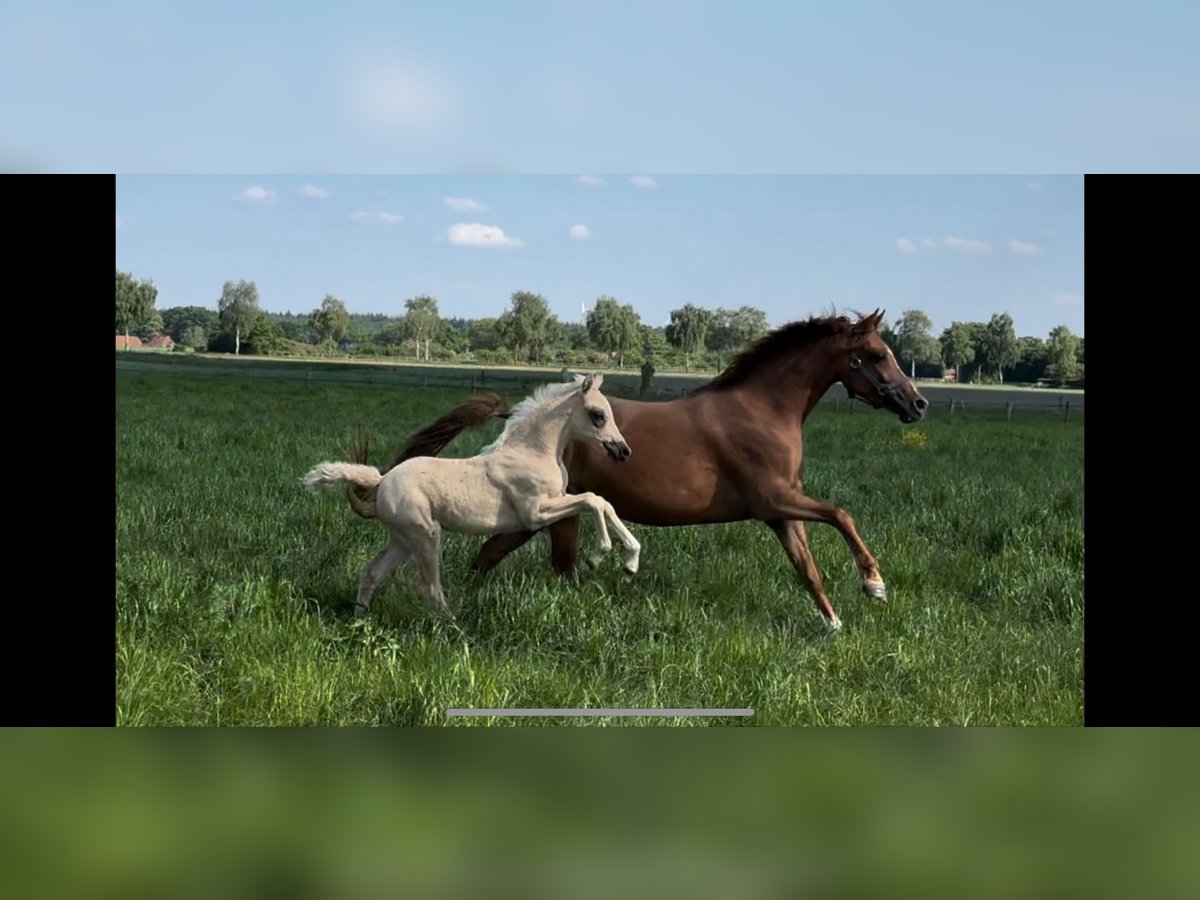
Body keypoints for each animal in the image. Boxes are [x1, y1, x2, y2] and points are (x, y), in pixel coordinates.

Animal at [302, 374, 638, 619]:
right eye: (597, 415)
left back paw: (360, 620)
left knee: (372, 572)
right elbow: (593, 500)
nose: (623, 452)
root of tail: (382, 480)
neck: (531, 452)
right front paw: (599, 555)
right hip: (424, 535)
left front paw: (630, 562)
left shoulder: (553, 504)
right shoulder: (536, 512)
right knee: (429, 588)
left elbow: (602, 503)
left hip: (401, 539)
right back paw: (454, 627)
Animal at [348, 309, 926, 628]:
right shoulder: (774, 499)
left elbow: (807, 566)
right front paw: (875, 584)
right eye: (877, 354)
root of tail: (516, 415)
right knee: (544, 564)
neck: (762, 412)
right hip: (553, 514)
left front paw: (833, 623)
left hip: (538, 516)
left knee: (493, 557)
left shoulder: (780, 511)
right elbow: (842, 514)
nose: (917, 403)